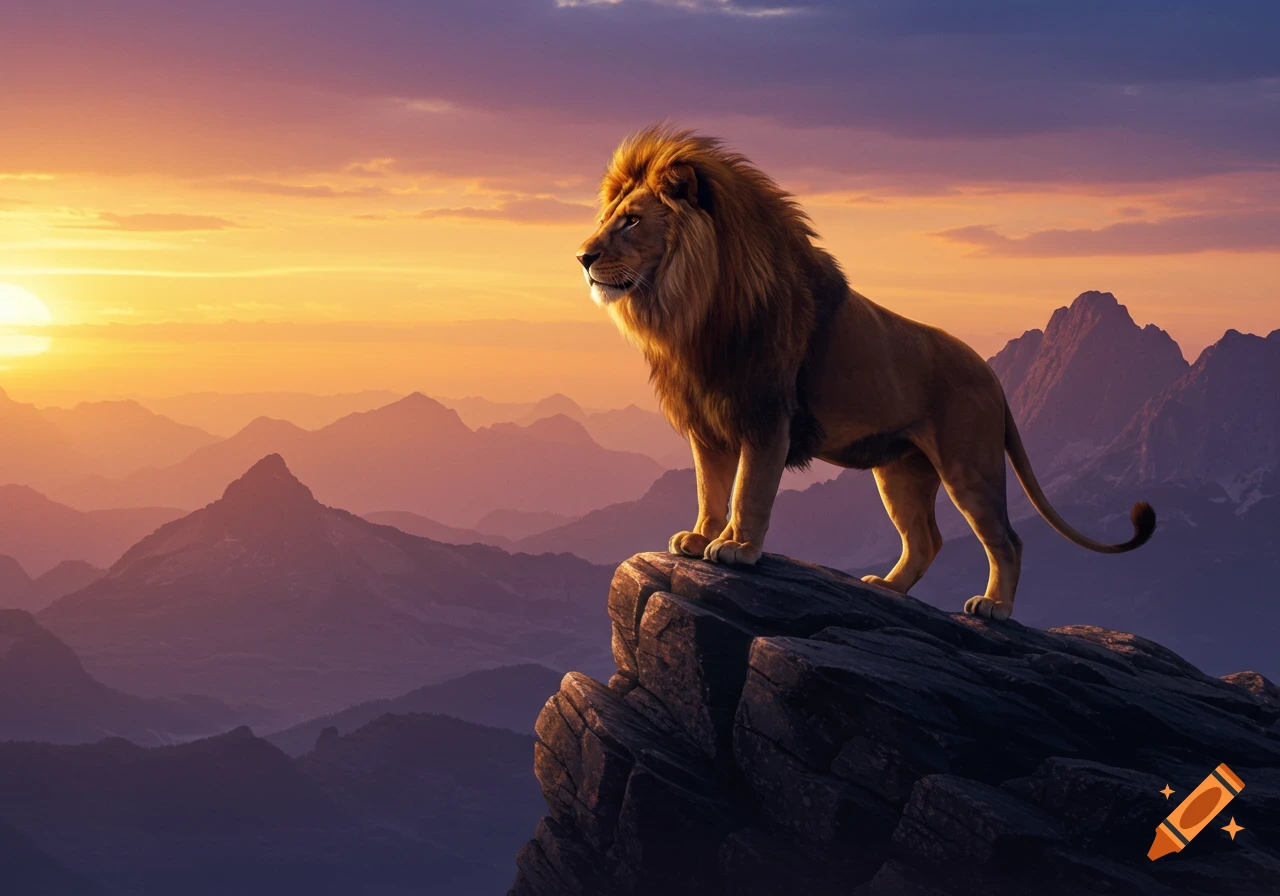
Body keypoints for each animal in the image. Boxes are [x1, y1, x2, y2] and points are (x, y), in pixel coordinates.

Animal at [575, 126, 1155, 620]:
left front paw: (737, 547)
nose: (582, 256)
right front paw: (698, 538)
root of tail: (993, 376)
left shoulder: (766, 417)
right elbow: (709, 489)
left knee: (1007, 539)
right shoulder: (708, 422)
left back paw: (993, 607)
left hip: (969, 463)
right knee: (926, 539)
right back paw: (887, 587)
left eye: (632, 220)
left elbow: (749, 490)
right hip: (901, 470)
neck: (691, 309)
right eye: (609, 218)